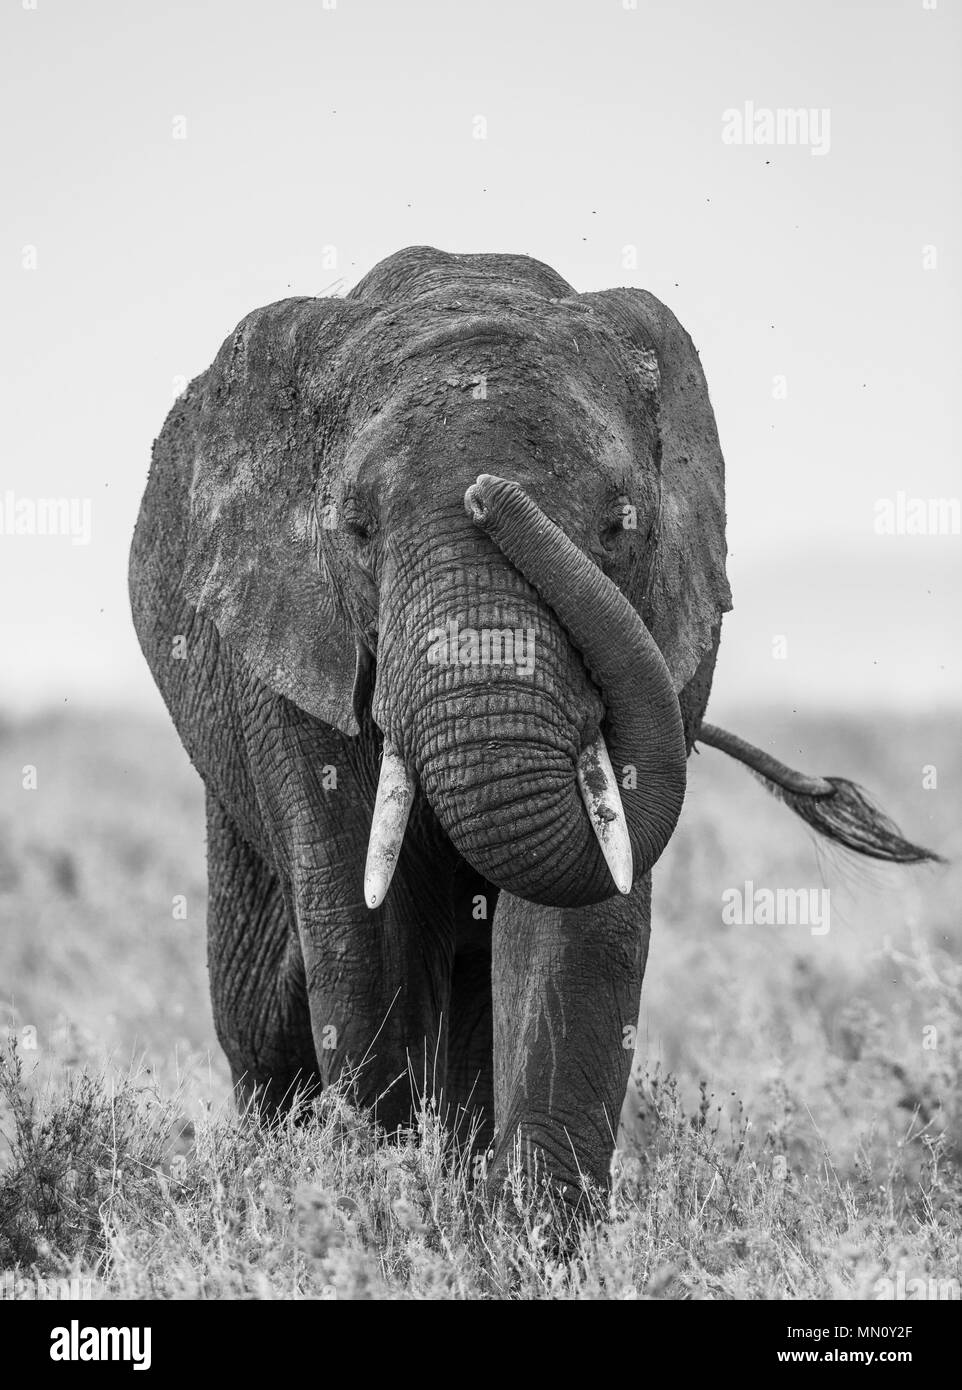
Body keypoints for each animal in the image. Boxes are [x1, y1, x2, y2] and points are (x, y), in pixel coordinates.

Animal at [129, 246, 935, 1201]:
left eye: (621, 525)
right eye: (356, 530)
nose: (492, 495)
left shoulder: (674, 638)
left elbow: (580, 920)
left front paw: (526, 1226)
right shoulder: (290, 656)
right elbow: (362, 929)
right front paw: (380, 1199)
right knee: (260, 1010)